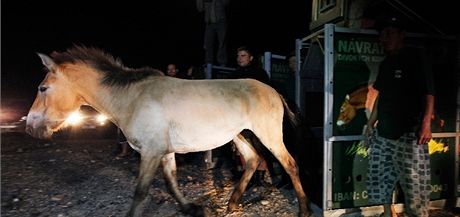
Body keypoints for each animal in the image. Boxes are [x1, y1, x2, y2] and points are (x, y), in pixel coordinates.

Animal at [26, 46, 312, 217]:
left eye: (42, 88)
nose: (30, 127)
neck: (132, 98)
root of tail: (273, 90)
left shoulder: (151, 153)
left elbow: (141, 191)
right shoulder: (163, 152)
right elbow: (171, 182)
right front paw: (191, 208)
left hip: (268, 134)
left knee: (289, 164)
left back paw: (303, 209)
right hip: (239, 135)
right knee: (253, 160)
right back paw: (232, 203)